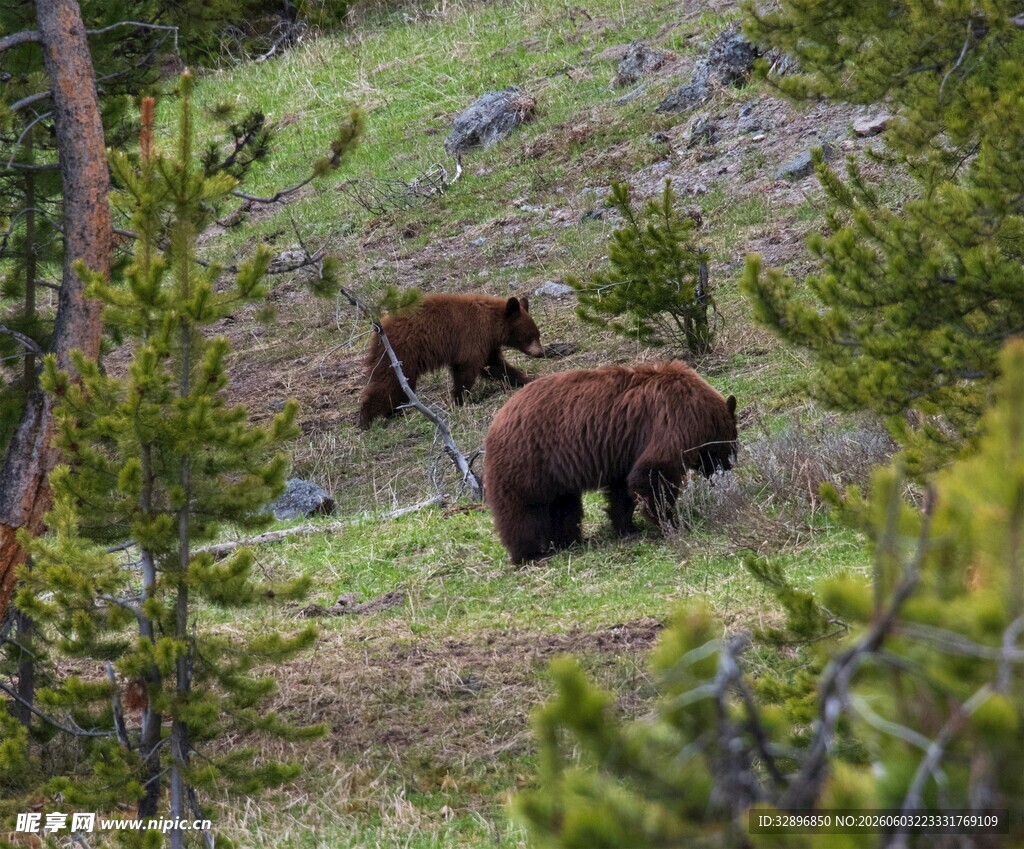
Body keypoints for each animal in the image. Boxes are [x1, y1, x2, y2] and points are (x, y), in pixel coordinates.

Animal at [358, 293, 544, 429]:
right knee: (387, 382)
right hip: (402, 352)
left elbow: (495, 366)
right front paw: (460, 400)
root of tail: (379, 329)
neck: (491, 323)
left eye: (537, 334)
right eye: (530, 336)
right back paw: (366, 420)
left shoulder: (487, 345)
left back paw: (396, 410)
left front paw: (525, 379)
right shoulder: (472, 337)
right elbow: (467, 369)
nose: (541, 353)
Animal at [483, 360, 737, 563]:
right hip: (527, 459)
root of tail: (496, 420)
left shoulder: (626, 448)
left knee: (563, 505)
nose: (728, 469)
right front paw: (669, 522)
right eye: (732, 445)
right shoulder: (672, 419)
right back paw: (530, 553)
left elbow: (622, 488)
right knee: (522, 509)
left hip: (555, 472)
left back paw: (570, 540)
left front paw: (627, 526)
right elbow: (654, 473)